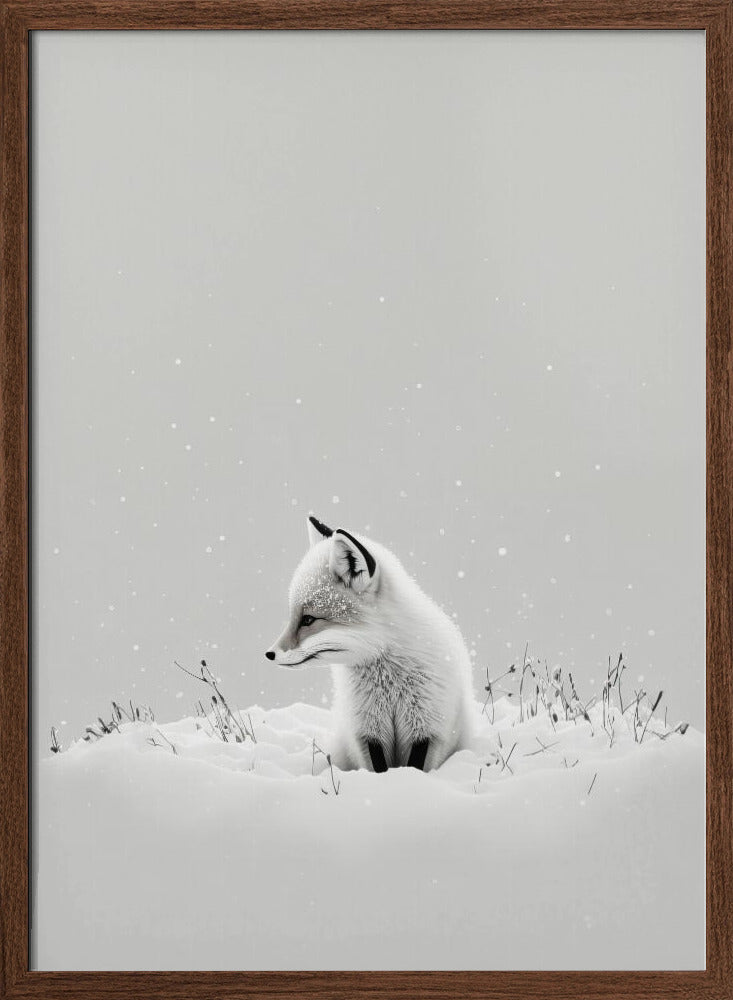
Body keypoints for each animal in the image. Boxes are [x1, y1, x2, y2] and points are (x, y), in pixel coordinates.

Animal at [265, 514, 475, 773]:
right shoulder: (367, 729)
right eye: (293, 616)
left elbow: (414, 766)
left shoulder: (427, 726)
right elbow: (378, 768)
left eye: (308, 620)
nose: (270, 654)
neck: (389, 681)